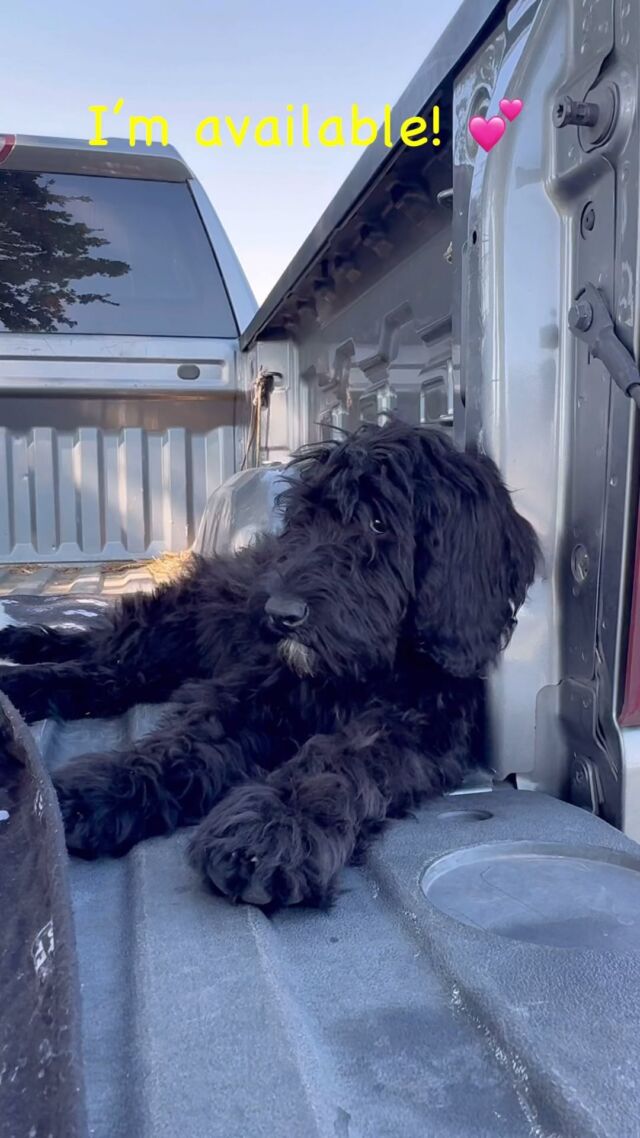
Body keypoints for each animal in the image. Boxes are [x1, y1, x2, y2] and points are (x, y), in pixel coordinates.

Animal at [0, 423, 535, 910]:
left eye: (379, 524)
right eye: (304, 520)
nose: (279, 615)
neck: (360, 672)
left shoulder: (415, 728)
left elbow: (337, 761)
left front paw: (271, 832)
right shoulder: (252, 687)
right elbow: (185, 740)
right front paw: (104, 789)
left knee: (113, 673)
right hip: (173, 627)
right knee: (103, 656)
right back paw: (22, 665)